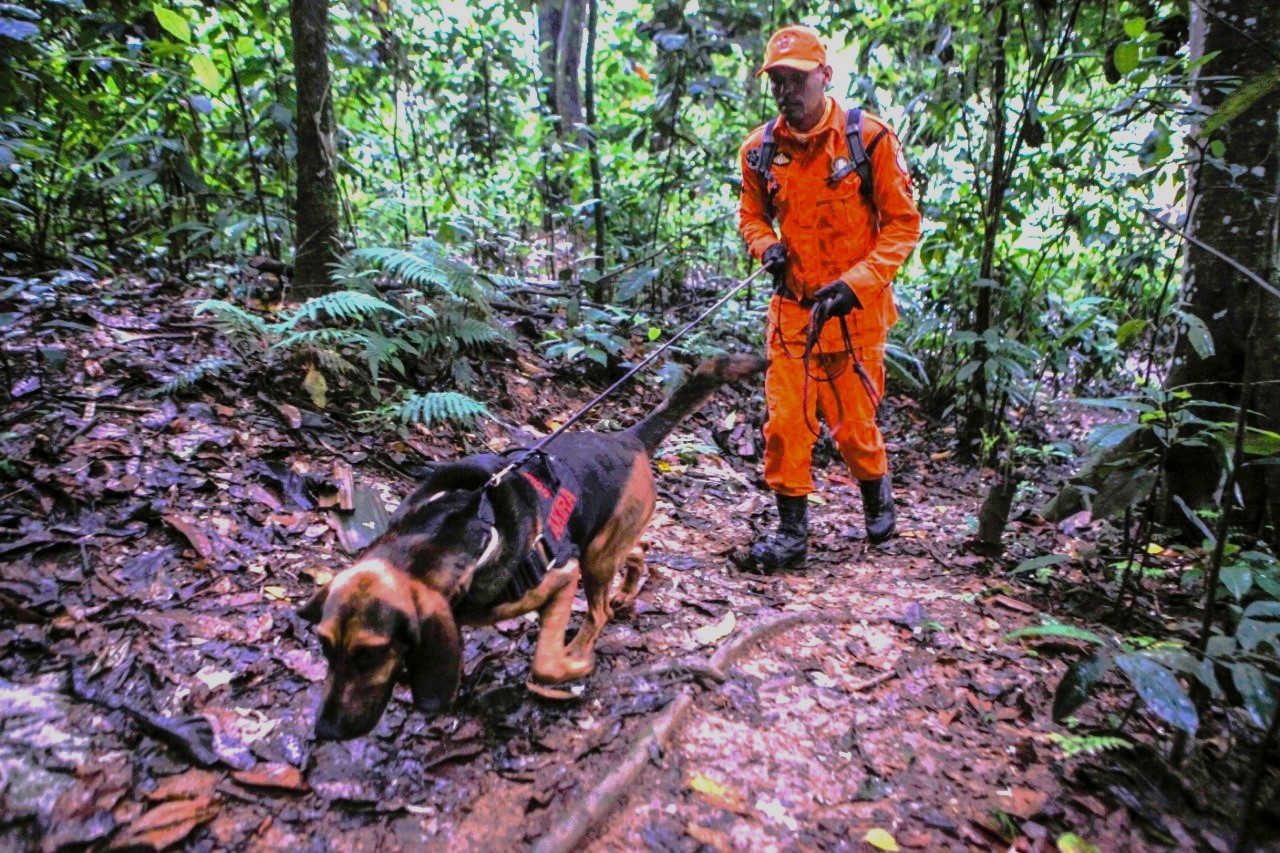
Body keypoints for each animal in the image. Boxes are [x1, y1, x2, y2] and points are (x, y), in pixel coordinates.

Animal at [294, 350, 762, 737]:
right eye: (324, 646)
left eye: (370, 655)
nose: (324, 733)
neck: (457, 533)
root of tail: (628, 438)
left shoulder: (561, 578)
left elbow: (545, 662)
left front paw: (571, 666)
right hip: (600, 546)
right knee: (637, 552)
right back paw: (629, 590)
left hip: (591, 563)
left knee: (599, 613)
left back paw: (585, 643)